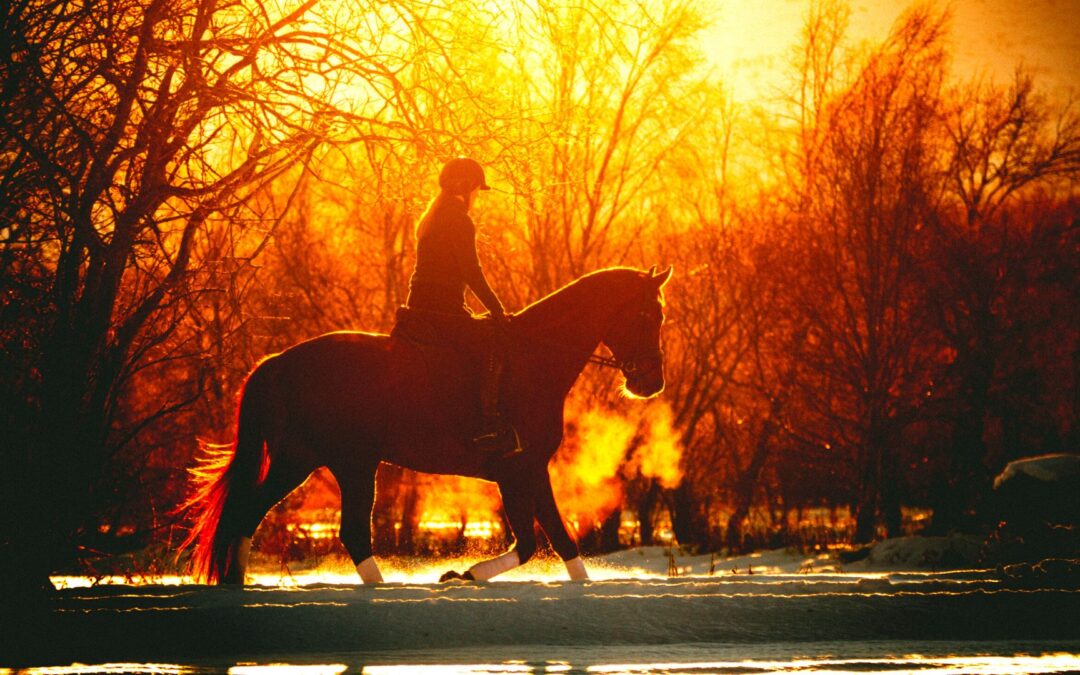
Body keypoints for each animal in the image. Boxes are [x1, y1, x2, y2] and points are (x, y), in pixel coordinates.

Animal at [182, 265, 671, 584]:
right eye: (648, 314)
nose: (651, 382)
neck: (534, 357)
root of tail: (280, 362)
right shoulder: (520, 468)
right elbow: (537, 539)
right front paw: (464, 574)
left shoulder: (528, 470)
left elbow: (555, 539)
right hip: (332, 462)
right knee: (310, 522)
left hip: (328, 462)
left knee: (286, 518)